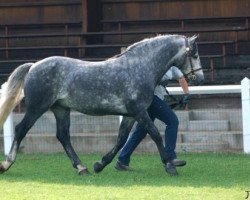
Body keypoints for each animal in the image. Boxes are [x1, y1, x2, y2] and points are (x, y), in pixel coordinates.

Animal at [0, 34, 203, 175]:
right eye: (194, 54)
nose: (200, 78)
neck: (140, 68)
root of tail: (33, 66)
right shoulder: (139, 111)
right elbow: (155, 135)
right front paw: (170, 166)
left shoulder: (130, 115)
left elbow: (122, 139)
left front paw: (100, 164)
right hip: (37, 107)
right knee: (21, 130)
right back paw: (6, 164)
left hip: (61, 109)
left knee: (63, 135)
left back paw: (82, 167)